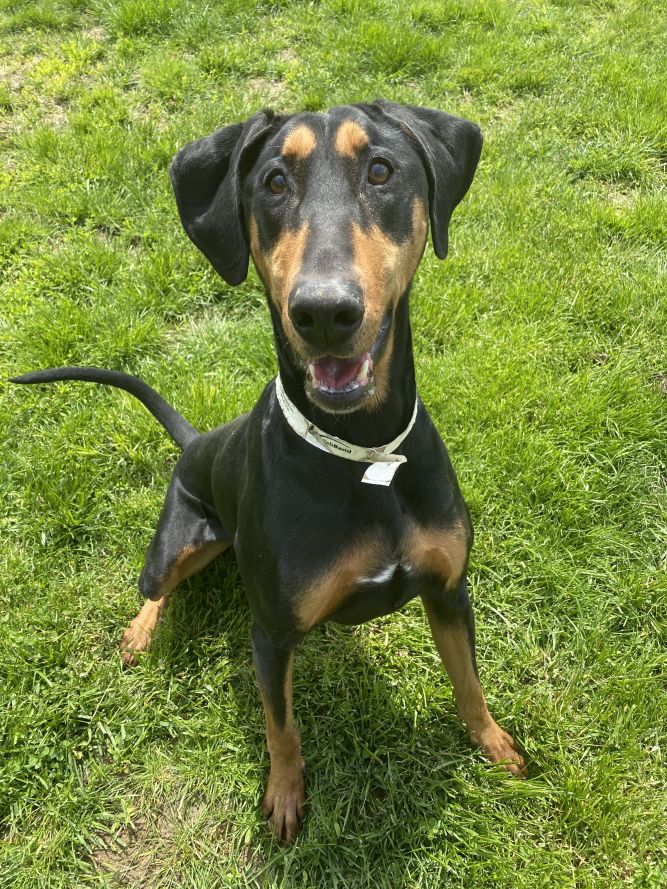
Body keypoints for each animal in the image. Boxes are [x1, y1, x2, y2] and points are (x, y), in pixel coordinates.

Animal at [9, 100, 528, 844]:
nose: (324, 312)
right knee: (154, 585)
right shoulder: (273, 634)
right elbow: (280, 726)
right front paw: (284, 796)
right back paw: (141, 631)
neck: (364, 454)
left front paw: (495, 745)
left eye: (380, 170)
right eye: (274, 182)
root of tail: (197, 440)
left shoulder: (449, 591)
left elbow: (469, 683)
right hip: (182, 541)